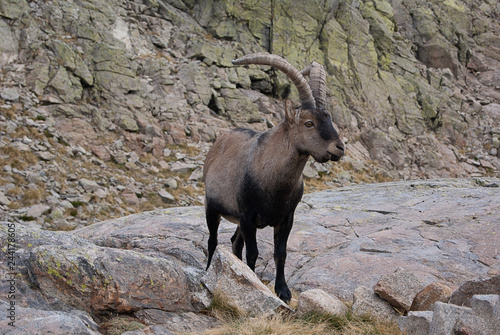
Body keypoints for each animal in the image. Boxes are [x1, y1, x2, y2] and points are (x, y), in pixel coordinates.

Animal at [202, 51, 344, 302]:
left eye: (329, 119)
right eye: (309, 123)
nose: (339, 148)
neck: (273, 180)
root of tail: (219, 141)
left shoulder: (286, 218)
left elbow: (280, 253)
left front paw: (283, 291)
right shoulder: (248, 216)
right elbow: (253, 253)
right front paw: (255, 284)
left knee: (234, 243)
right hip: (212, 208)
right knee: (213, 241)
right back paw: (210, 270)